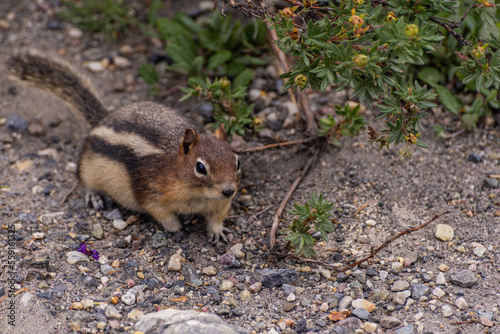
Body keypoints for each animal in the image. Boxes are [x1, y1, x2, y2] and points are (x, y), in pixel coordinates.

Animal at [6, 49, 241, 243]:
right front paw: (175, 226)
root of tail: (104, 118)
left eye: (237, 161)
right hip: (89, 166)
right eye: (200, 167)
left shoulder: (219, 203)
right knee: (83, 179)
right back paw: (94, 195)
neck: (197, 194)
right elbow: (161, 213)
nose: (229, 190)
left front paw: (217, 231)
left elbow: (217, 217)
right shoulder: (150, 192)